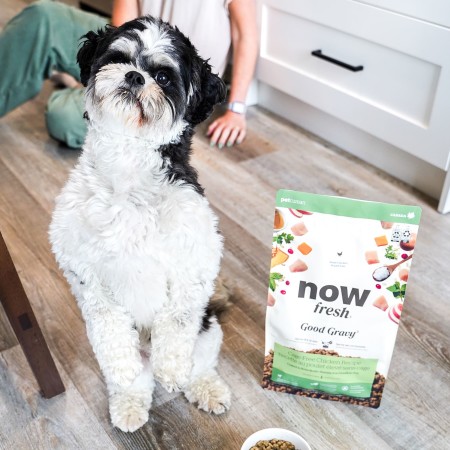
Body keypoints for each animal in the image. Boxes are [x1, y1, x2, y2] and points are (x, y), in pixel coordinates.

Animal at [50, 16, 230, 432]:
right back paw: (129, 403)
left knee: (201, 363)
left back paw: (203, 387)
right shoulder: (83, 268)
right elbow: (108, 323)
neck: (128, 166)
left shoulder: (196, 258)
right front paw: (123, 365)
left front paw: (172, 369)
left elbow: (178, 319)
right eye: (118, 58)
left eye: (163, 77)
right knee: (135, 382)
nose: (134, 76)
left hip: (209, 329)